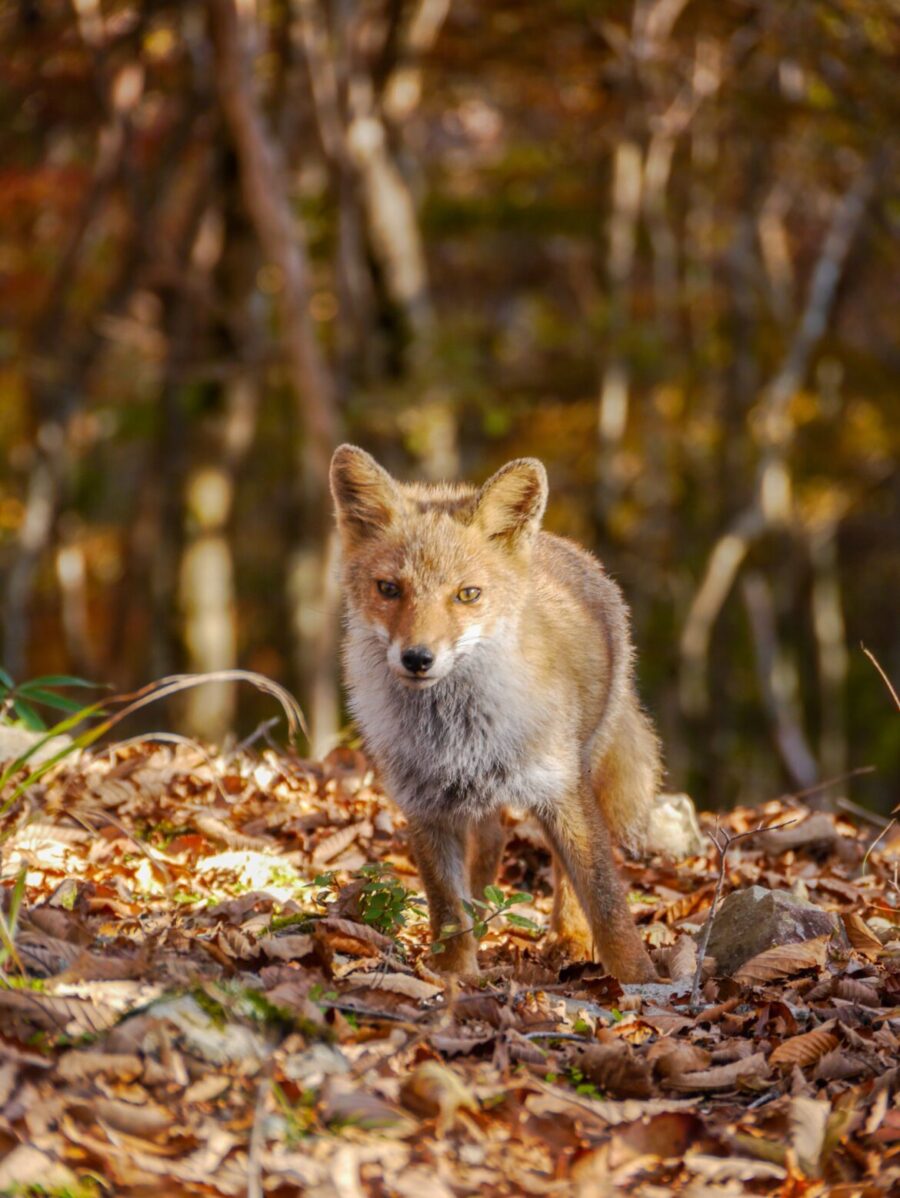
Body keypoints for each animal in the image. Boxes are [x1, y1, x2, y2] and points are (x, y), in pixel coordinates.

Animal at [330, 445, 661, 977]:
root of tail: (567, 548)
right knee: (490, 850)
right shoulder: (424, 804)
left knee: (562, 875)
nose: (417, 658)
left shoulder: (559, 788)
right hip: (475, 803)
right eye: (389, 589)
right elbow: (446, 905)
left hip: (579, 768)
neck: (456, 732)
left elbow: (606, 901)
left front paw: (640, 981)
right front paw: (453, 975)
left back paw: (569, 940)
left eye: (467, 594)